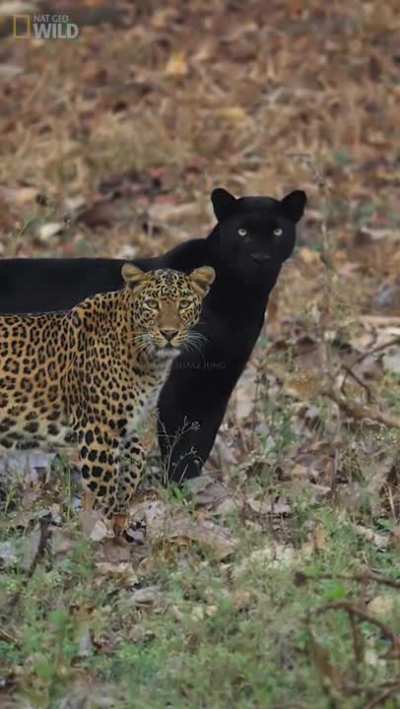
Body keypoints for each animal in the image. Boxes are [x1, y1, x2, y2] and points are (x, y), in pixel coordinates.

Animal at [0, 264, 215, 523]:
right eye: (152, 304)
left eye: (183, 304)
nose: (169, 333)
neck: (148, 360)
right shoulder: (97, 430)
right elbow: (105, 487)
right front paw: (107, 523)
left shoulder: (122, 424)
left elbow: (138, 455)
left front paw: (124, 501)